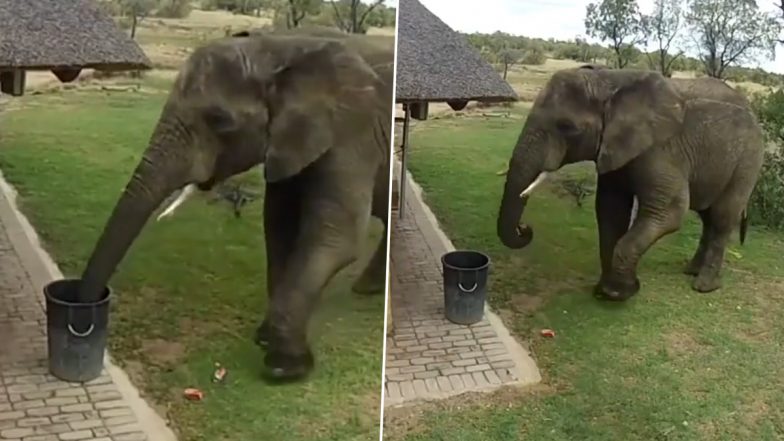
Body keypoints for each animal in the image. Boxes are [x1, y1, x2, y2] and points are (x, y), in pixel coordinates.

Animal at [76, 25, 396, 380]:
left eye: (219, 120)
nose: (84, 312)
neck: (277, 48)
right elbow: (279, 226)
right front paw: (265, 339)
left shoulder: (352, 132)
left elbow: (335, 238)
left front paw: (284, 368)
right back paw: (368, 288)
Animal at [500, 64, 764, 300]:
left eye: (566, 127)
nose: (525, 228)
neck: (609, 80)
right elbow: (611, 209)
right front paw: (605, 291)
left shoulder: (661, 150)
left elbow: (667, 214)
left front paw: (619, 293)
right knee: (708, 217)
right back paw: (691, 271)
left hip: (748, 161)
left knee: (721, 217)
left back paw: (704, 286)